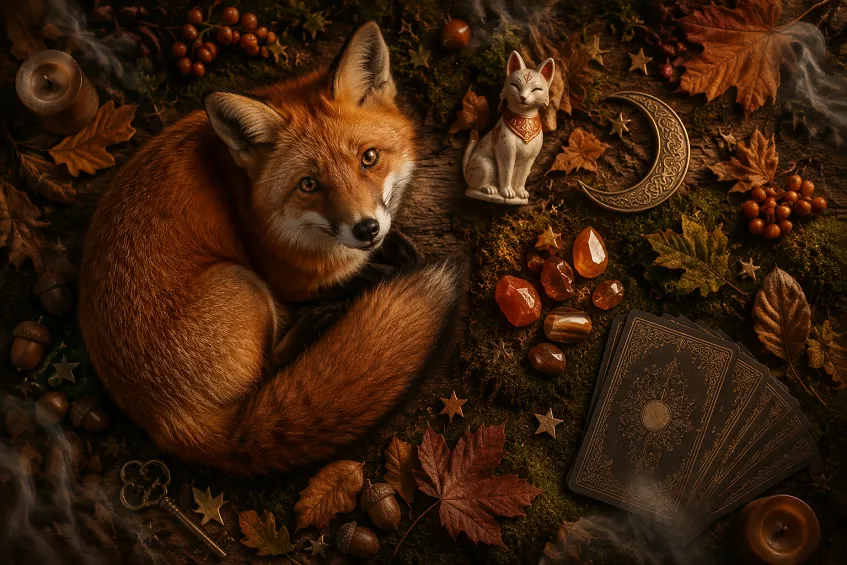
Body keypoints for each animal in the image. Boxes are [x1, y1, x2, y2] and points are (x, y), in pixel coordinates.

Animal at [77, 23, 464, 474]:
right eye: (309, 184)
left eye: (369, 158)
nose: (366, 229)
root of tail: (170, 423)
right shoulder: (287, 280)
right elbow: (353, 275)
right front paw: (384, 269)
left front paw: (395, 249)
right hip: (241, 282)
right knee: (271, 368)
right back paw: (317, 324)